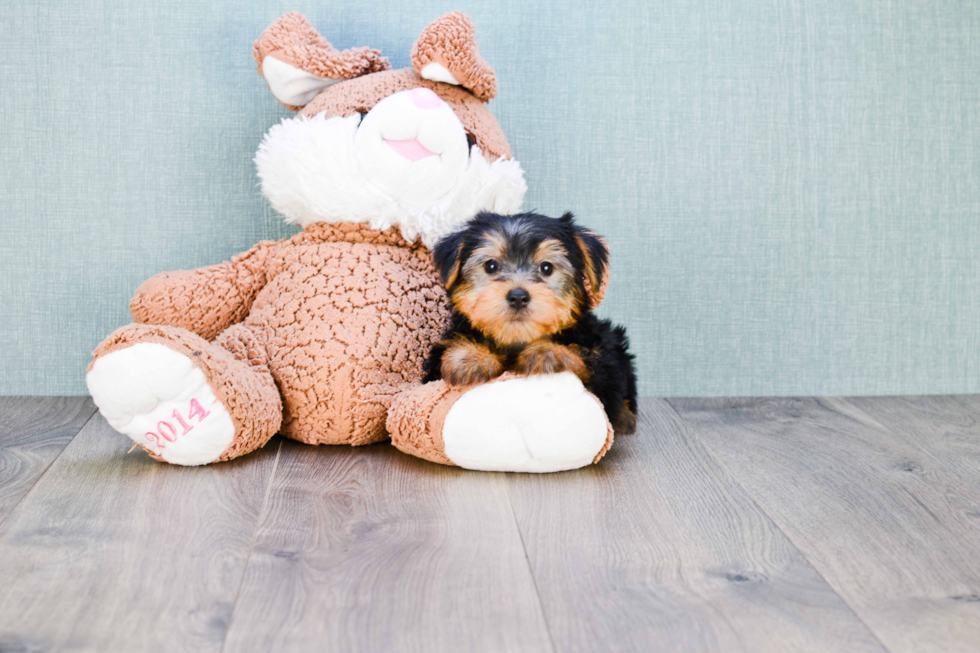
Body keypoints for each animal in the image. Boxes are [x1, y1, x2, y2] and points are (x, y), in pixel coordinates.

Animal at [424, 210, 640, 432]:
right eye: (491, 266)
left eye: (546, 268)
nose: (518, 296)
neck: (516, 340)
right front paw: (470, 357)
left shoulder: (604, 359)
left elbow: (593, 369)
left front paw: (549, 353)